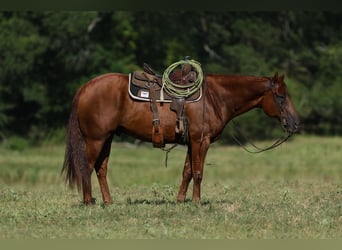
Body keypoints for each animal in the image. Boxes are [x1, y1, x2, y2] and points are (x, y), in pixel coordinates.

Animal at [61, 71, 300, 205]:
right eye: (280, 96)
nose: (296, 123)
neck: (215, 97)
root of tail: (84, 88)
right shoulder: (201, 141)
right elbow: (198, 172)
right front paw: (196, 201)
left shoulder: (191, 142)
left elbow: (187, 171)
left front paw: (180, 200)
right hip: (96, 139)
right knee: (86, 167)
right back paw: (88, 202)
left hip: (107, 139)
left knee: (101, 169)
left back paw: (108, 202)